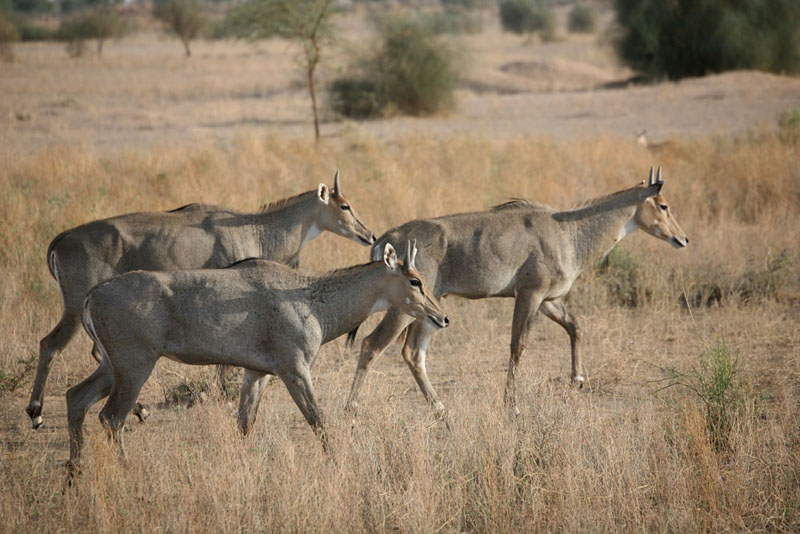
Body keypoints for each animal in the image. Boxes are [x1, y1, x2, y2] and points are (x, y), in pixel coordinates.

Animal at [25, 172, 376, 432]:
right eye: (345, 206)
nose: (369, 235)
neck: (255, 228)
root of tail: (60, 240)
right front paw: (221, 393)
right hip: (75, 308)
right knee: (51, 344)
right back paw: (38, 412)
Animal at [67, 243, 450, 474]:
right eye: (415, 281)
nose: (442, 317)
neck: (312, 300)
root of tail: (90, 297)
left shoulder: (257, 373)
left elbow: (245, 425)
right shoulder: (294, 368)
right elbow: (319, 421)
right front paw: (339, 464)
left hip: (111, 367)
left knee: (76, 397)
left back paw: (74, 473)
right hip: (134, 366)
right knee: (111, 418)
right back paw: (125, 471)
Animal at [344, 168, 688, 414]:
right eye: (664, 205)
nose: (682, 239)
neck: (569, 231)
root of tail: (385, 239)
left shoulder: (549, 299)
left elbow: (575, 326)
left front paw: (577, 379)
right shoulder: (530, 294)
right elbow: (517, 345)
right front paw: (513, 405)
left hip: (430, 307)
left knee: (413, 353)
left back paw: (440, 409)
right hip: (404, 307)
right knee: (372, 345)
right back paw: (351, 409)